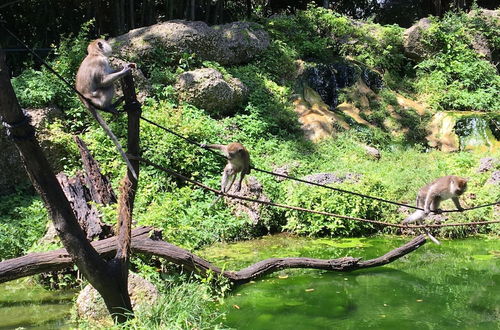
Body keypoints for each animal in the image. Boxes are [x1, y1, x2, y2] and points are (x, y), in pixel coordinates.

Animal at [75, 39, 137, 179]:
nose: (109, 43)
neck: (95, 54)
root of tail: (84, 100)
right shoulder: (101, 62)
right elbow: (103, 81)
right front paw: (124, 71)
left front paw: (125, 66)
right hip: (98, 97)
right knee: (109, 86)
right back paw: (108, 107)